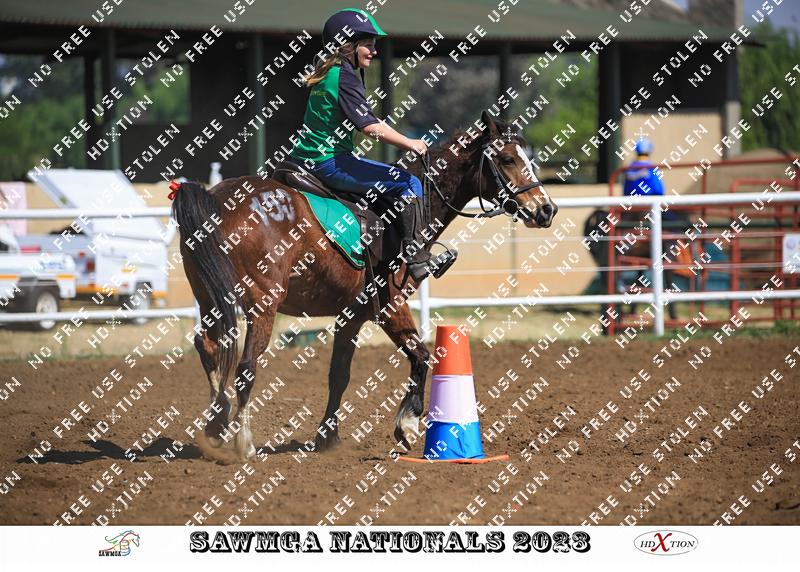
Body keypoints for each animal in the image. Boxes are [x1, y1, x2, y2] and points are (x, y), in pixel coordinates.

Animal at [171, 110, 558, 461]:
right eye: (507, 159)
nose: (546, 209)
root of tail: (218, 196)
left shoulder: (351, 315)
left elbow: (339, 374)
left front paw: (328, 437)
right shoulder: (390, 305)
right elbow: (422, 357)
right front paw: (407, 425)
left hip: (211, 300)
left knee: (208, 347)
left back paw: (216, 427)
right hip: (262, 306)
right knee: (246, 366)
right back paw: (243, 442)